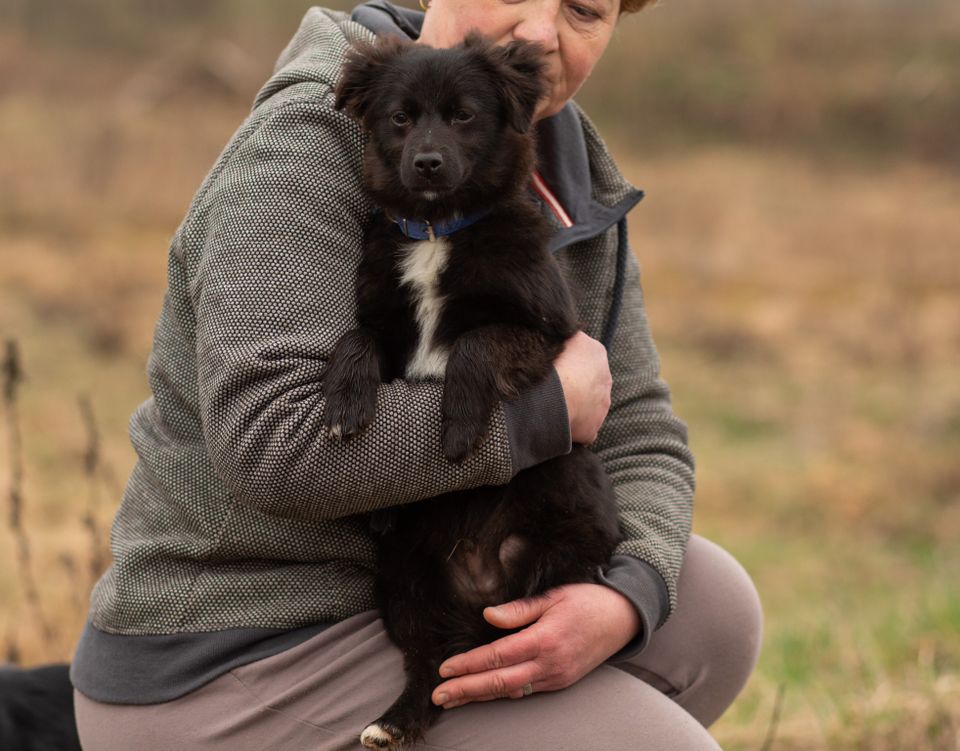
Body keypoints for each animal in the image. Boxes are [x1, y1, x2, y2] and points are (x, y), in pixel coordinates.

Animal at [326, 36, 620, 751]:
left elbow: (476, 343)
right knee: (431, 664)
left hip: (564, 503)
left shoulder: (547, 331)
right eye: (400, 119)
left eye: (463, 116)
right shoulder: (383, 318)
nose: (427, 162)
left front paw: (459, 427)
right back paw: (393, 722)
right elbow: (358, 338)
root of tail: (482, 579)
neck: (440, 228)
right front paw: (346, 403)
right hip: (402, 579)